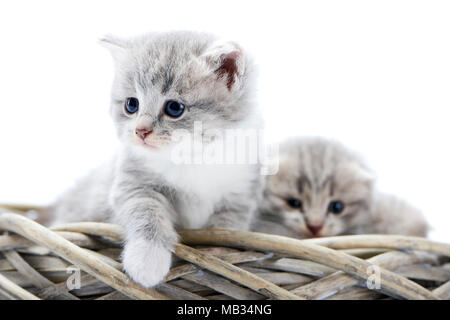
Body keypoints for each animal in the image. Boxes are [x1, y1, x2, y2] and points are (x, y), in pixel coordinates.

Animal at [49, 31, 262, 288]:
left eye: (174, 108)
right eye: (131, 104)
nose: (140, 131)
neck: (192, 157)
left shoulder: (241, 193)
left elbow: (228, 226)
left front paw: (217, 253)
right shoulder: (133, 185)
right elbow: (146, 213)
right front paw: (146, 261)